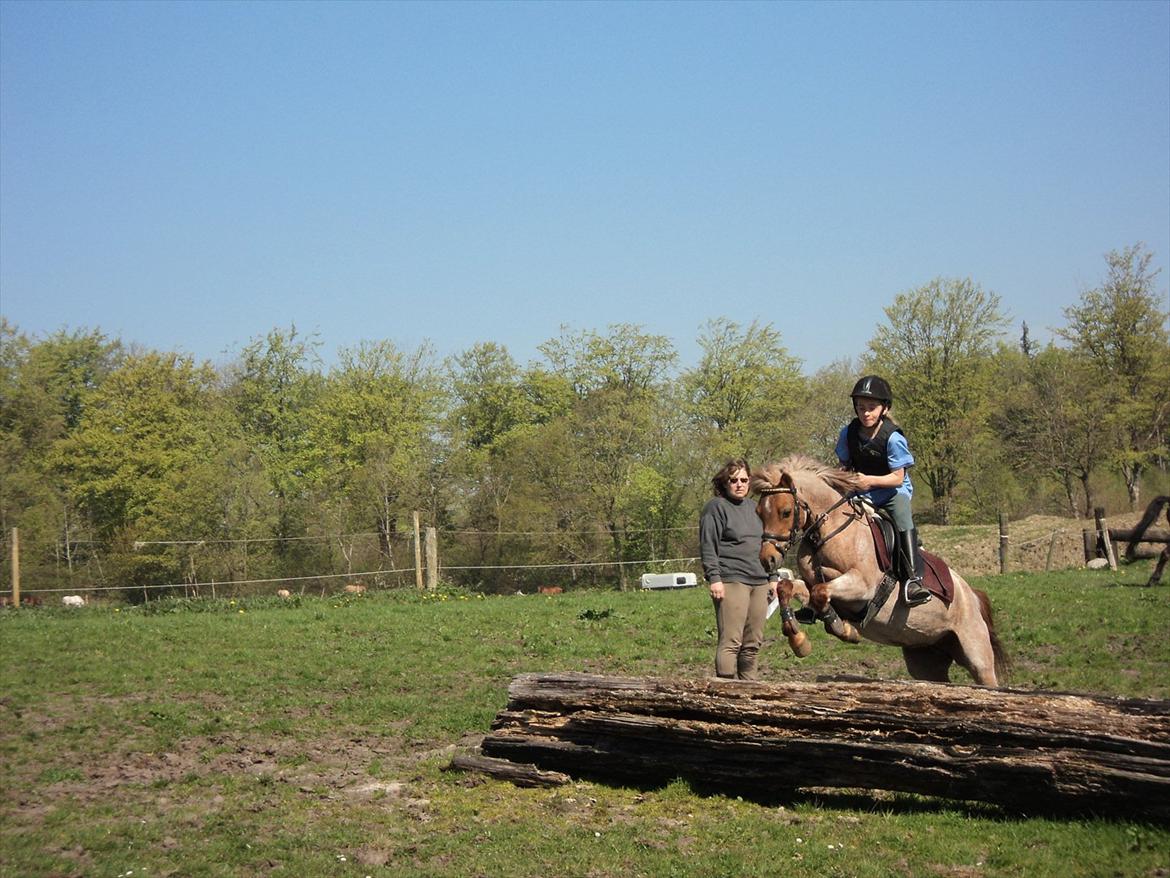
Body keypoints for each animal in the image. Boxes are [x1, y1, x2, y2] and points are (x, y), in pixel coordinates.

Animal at [753, 456, 1010, 693]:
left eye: (786, 512)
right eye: (759, 513)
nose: (768, 559)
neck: (827, 533)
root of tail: (972, 595)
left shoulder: (863, 585)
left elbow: (821, 591)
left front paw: (843, 629)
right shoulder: (811, 582)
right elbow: (788, 588)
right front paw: (798, 640)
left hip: (976, 653)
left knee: (987, 678)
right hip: (926, 657)